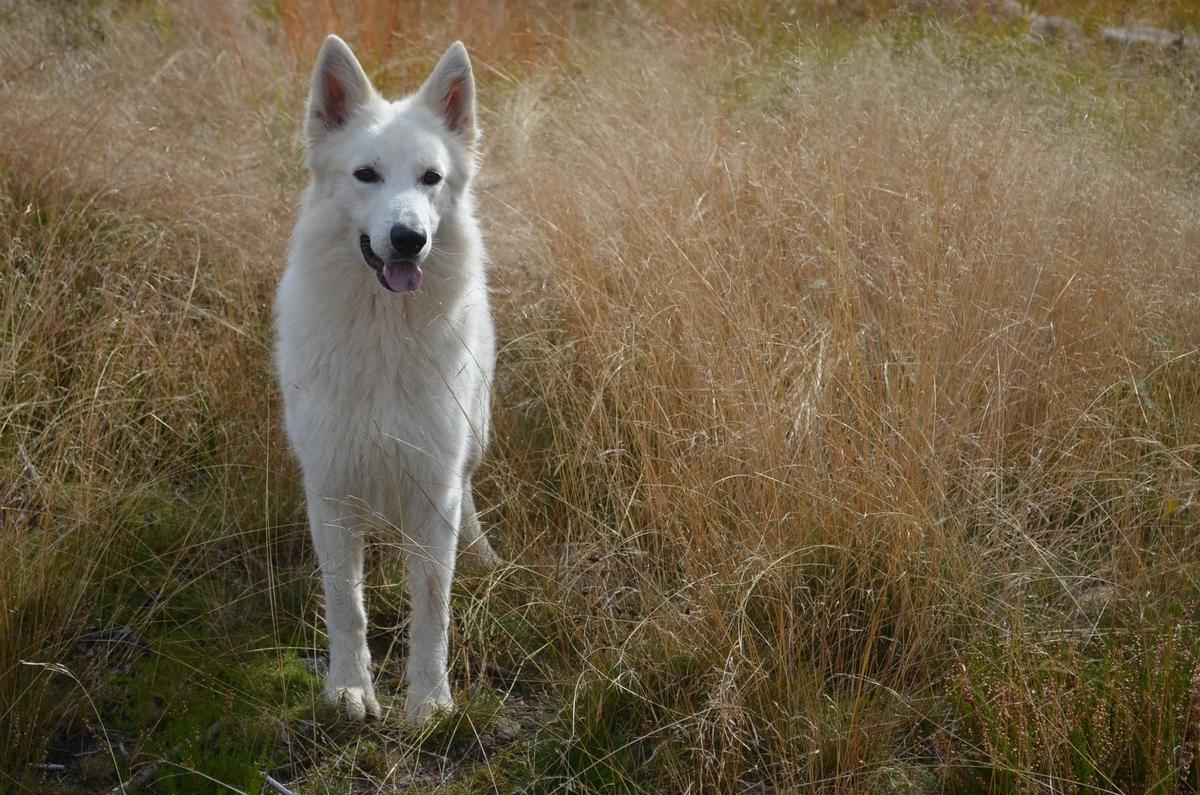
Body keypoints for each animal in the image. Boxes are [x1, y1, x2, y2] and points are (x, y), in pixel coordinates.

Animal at [274, 34, 496, 725]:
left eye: (431, 178)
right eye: (366, 175)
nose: (408, 239)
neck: (382, 336)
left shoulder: (432, 484)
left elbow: (433, 610)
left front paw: (429, 701)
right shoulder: (330, 488)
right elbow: (347, 606)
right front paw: (349, 690)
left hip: (471, 437)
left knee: (469, 495)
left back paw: (482, 555)